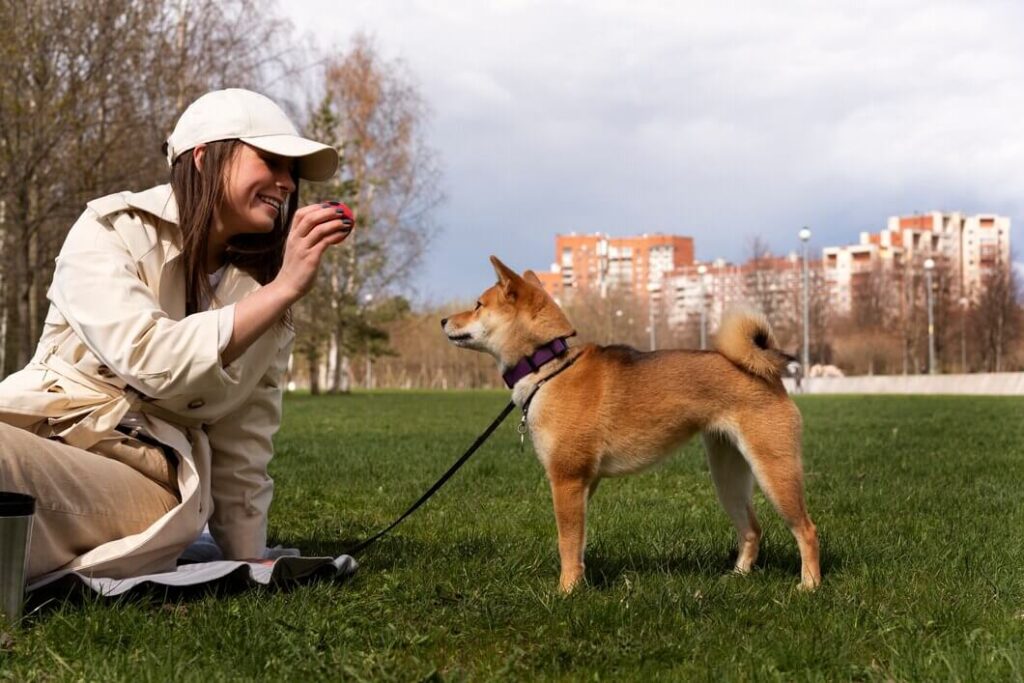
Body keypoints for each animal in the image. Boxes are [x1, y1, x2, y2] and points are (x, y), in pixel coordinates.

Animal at [444, 255, 819, 593]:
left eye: (478, 305)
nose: (444, 319)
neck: (547, 366)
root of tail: (767, 373)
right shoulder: (584, 483)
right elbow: (578, 544)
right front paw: (579, 583)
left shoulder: (567, 480)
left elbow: (567, 543)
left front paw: (566, 592)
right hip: (728, 476)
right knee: (752, 529)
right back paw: (738, 576)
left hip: (774, 470)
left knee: (807, 529)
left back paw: (810, 585)